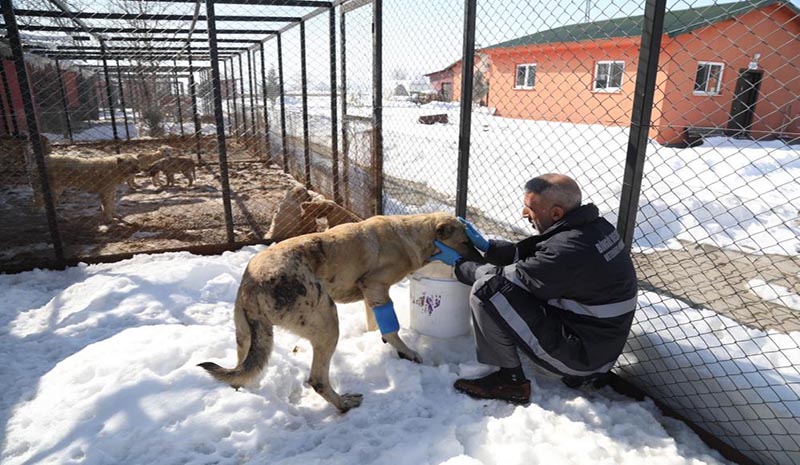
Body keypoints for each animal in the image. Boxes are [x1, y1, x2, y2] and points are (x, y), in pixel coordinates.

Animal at [199, 212, 472, 412]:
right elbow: (392, 331)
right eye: (465, 242)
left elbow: (375, 324)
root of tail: (253, 284)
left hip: (245, 336)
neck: (412, 234)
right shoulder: (375, 286)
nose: (479, 257)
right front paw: (406, 351)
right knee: (318, 380)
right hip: (328, 322)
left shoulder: (371, 295)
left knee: (240, 371)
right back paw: (343, 404)